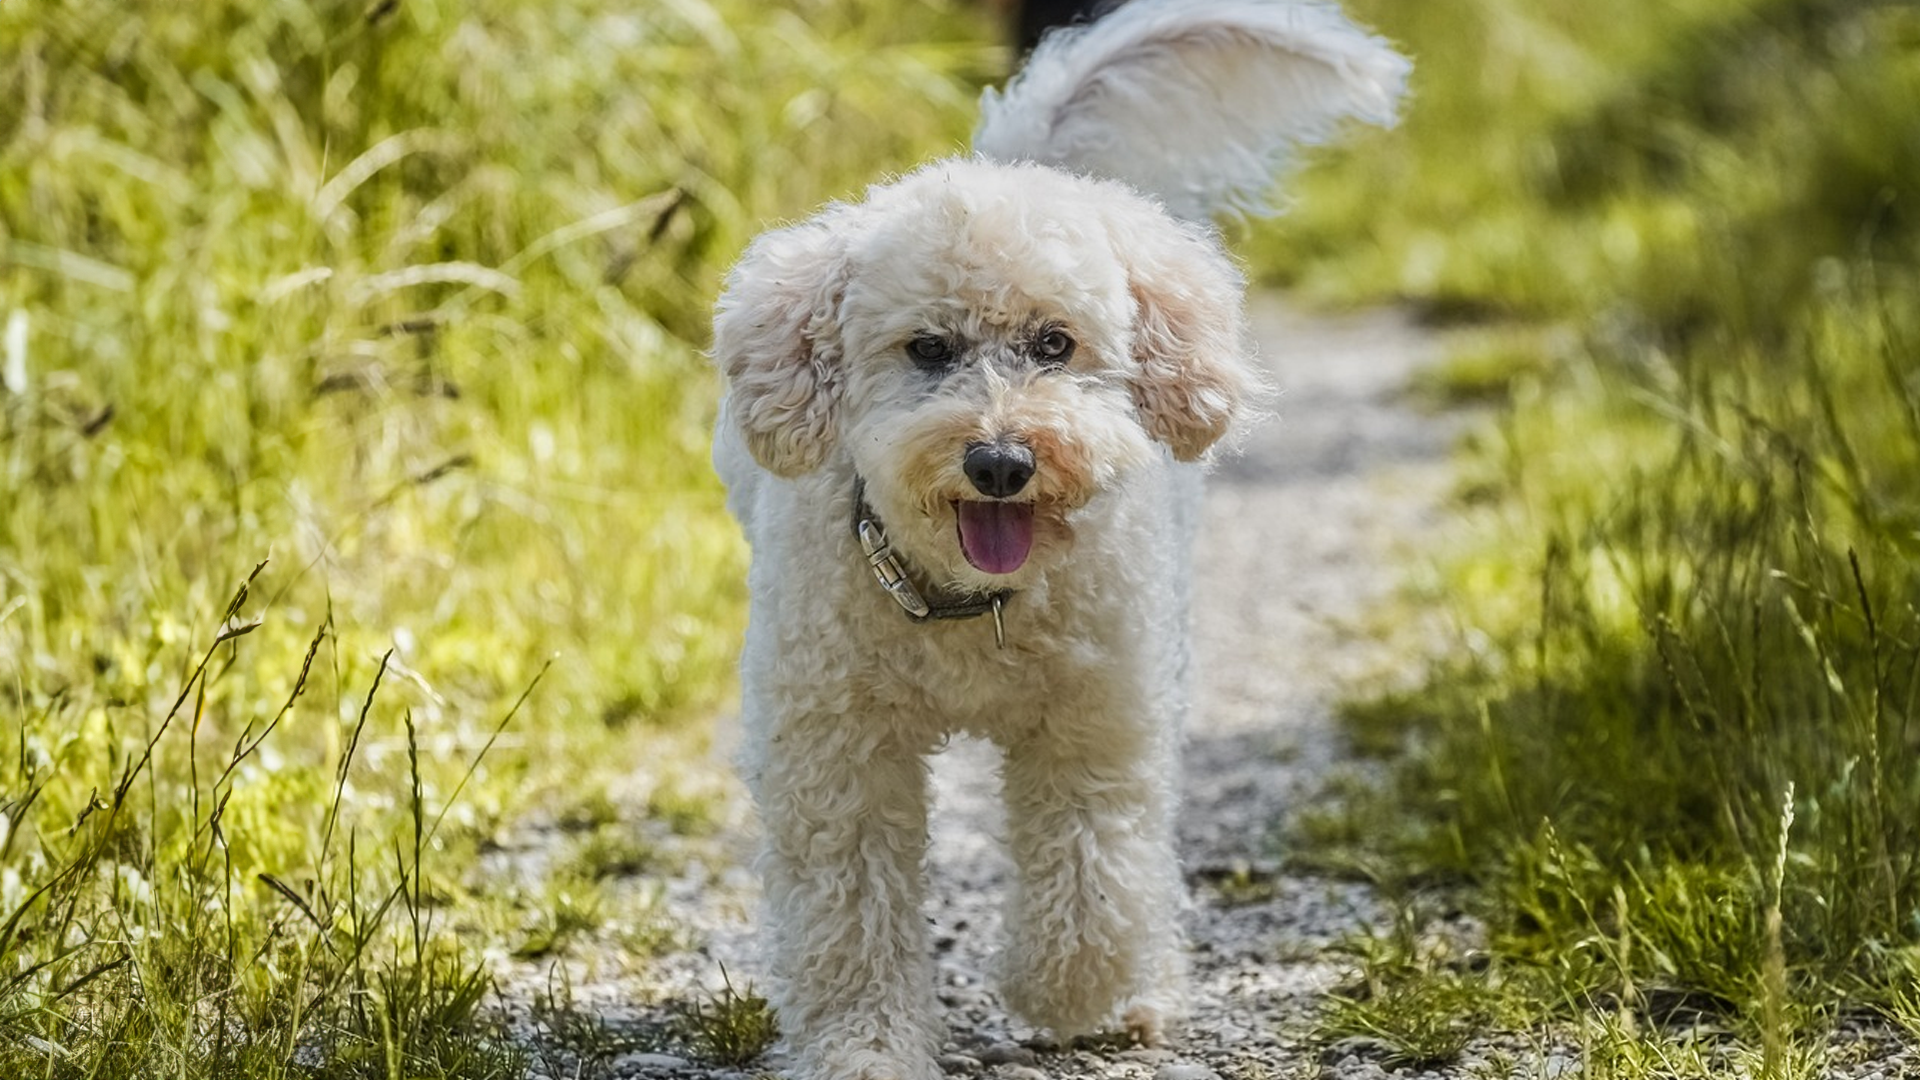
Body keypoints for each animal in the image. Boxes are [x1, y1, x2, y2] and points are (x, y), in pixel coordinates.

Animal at [714, 4, 1405, 1068]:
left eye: (1055, 344)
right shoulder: (835, 753)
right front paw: (865, 1046)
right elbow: (851, 910)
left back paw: (1137, 995)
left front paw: (1066, 994)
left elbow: (1092, 875)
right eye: (928, 348)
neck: (967, 603)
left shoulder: (1093, 721)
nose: (1001, 461)